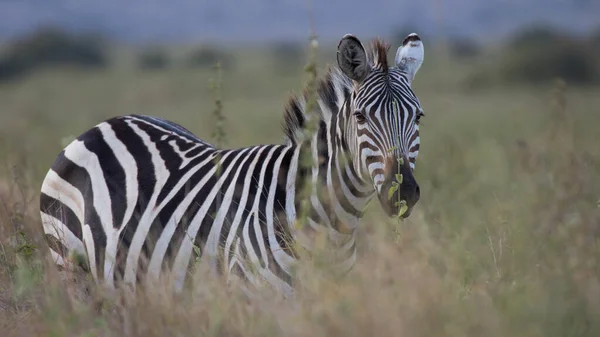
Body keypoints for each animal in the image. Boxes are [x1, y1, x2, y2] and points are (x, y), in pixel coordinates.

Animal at [39, 33, 426, 296]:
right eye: (360, 118)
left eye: (419, 117)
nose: (403, 193)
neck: (333, 226)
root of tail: (106, 123)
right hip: (70, 266)